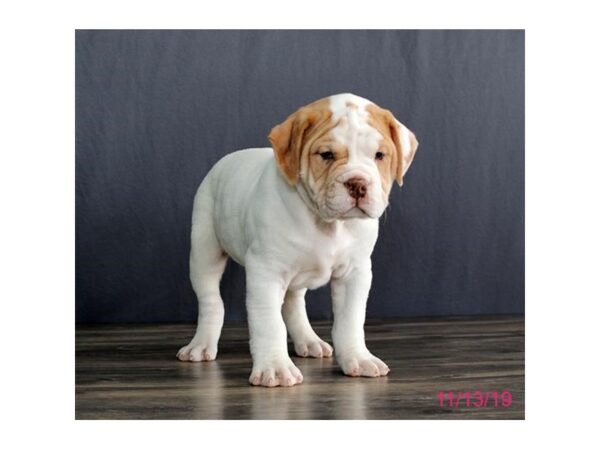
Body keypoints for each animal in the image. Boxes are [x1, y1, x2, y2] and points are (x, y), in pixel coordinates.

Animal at [177, 92, 418, 386]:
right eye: (326, 155)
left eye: (380, 155)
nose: (358, 184)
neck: (327, 223)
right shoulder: (266, 272)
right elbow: (269, 324)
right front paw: (275, 368)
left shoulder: (355, 273)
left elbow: (350, 320)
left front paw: (358, 358)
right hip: (204, 251)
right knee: (211, 301)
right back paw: (201, 345)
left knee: (293, 304)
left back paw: (309, 340)